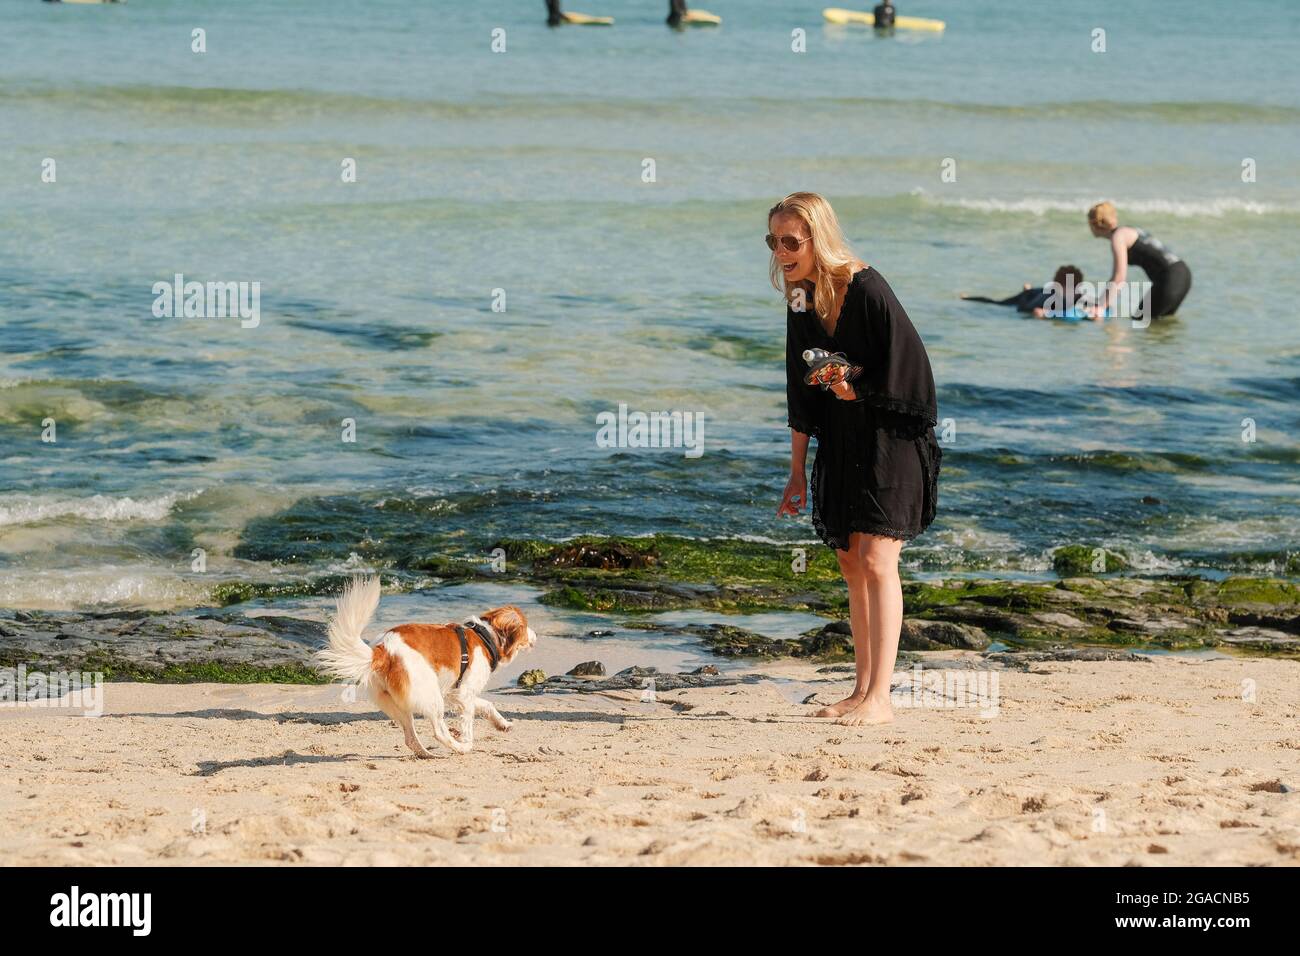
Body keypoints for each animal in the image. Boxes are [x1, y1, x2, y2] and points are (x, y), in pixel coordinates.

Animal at [317, 574, 535, 754]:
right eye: (526, 627)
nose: (536, 636)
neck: (485, 637)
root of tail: (382, 651)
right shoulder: (464, 693)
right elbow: (468, 721)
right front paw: (466, 739)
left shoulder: (454, 693)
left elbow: (487, 704)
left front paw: (502, 723)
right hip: (431, 696)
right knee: (439, 732)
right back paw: (461, 748)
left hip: (400, 703)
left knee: (410, 738)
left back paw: (426, 754)